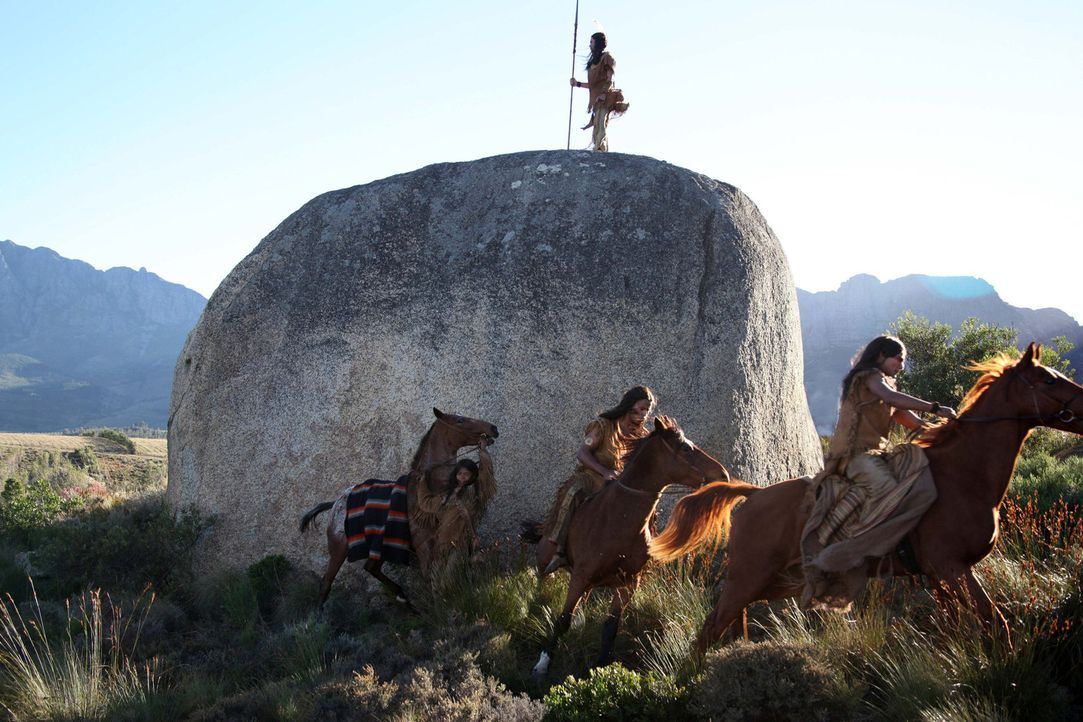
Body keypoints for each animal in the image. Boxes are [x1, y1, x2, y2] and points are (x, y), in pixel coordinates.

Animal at [298, 407, 496, 610]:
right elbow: (429, 575)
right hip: (339, 547)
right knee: (326, 582)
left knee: (370, 567)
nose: (493, 428)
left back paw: (404, 598)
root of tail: (336, 503)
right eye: (460, 420)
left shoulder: (441, 538)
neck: (429, 489)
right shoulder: (422, 543)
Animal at [522, 417, 732, 679]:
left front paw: (602, 666)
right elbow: (562, 620)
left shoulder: (628, 583)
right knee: (541, 580)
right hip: (548, 557)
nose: (723, 474)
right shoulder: (581, 575)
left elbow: (611, 627)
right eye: (685, 448)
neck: (618, 518)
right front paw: (542, 663)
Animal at [645, 342, 1083, 658]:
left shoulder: (940, 575)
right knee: (709, 630)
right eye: (1048, 380)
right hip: (748, 577)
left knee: (729, 624)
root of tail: (752, 496)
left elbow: (965, 628)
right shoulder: (951, 568)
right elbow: (997, 623)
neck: (963, 476)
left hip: (770, 581)